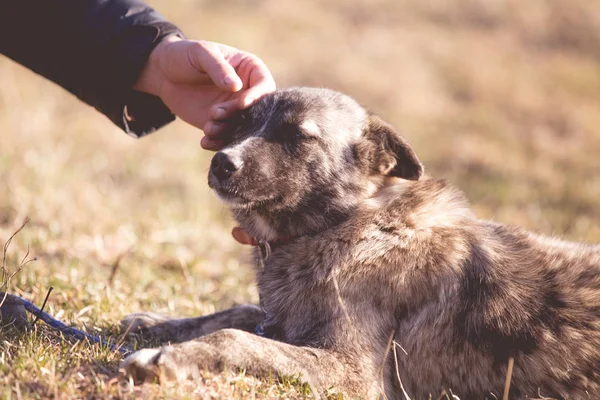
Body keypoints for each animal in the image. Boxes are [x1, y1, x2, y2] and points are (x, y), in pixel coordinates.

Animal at [120, 87, 600, 400]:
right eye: (240, 124)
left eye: (298, 136)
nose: (222, 162)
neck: (343, 225)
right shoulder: (286, 316)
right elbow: (237, 313)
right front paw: (157, 324)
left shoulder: (351, 371)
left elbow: (238, 339)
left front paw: (163, 358)